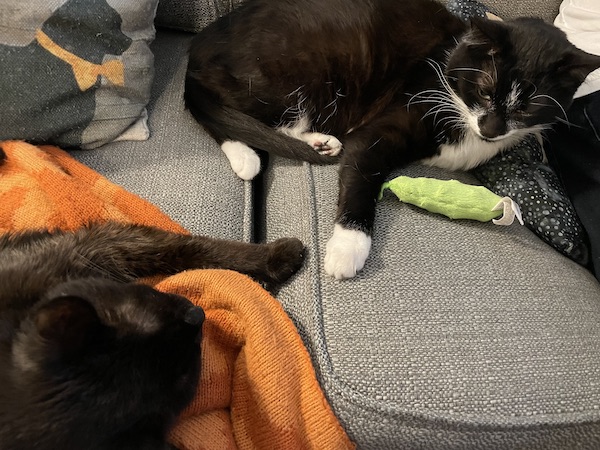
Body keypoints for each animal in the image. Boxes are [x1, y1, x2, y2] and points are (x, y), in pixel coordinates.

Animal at [0, 220, 304, 448]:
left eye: (144, 302)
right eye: (187, 374)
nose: (196, 314)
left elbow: (191, 249)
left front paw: (277, 257)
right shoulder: (97, 242)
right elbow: (189, 248)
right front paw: (280, 256)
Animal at [184, 0, 600, 278]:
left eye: (528, 109)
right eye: (484, 91)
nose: (492, 129)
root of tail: (198, 48)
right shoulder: (389, 122)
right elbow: (361, 172)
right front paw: (347, 250)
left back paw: (318, 142)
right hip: (291, 69)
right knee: (211, 106)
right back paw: (247, 157)